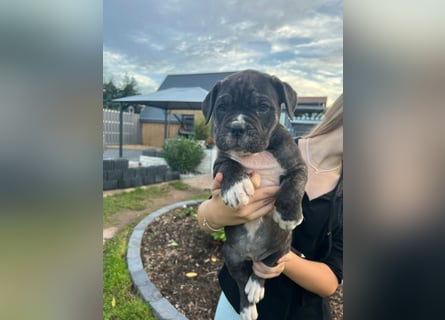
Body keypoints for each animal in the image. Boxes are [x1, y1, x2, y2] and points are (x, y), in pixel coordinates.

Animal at [203, 69, 306, 318]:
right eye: (222, 107)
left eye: (262, 106)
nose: (237, 127)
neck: (256, 153)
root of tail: (252, 255)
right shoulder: (219, 162)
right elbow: (230, 165)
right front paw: (237, 186)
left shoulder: (299, 167)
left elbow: (294, 184)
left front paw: (288, 214)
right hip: (231, 256)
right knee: (241, 281)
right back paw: (247, 306)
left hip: (281, 247)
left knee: (263, 268)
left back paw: (256, 287)